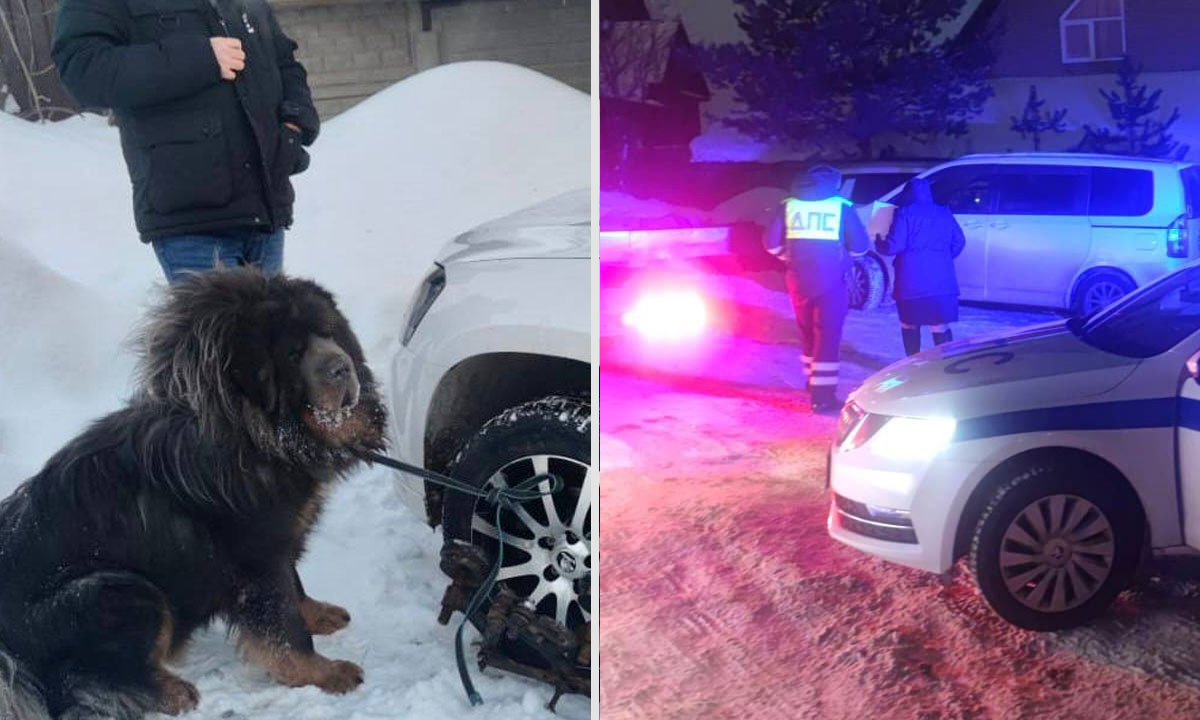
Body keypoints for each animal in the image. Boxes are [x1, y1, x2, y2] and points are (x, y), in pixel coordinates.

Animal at [0, 267, 386, 715]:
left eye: (330, 334)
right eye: (292, 354)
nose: (342, 368)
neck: (254, 433)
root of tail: (9, 653)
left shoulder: (277, 540)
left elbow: (295, 587)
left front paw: (317, 613)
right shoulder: (256, 558)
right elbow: (284, 626)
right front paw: (321, 673)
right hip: (115, 590)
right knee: (77, 680)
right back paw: (171, 691)